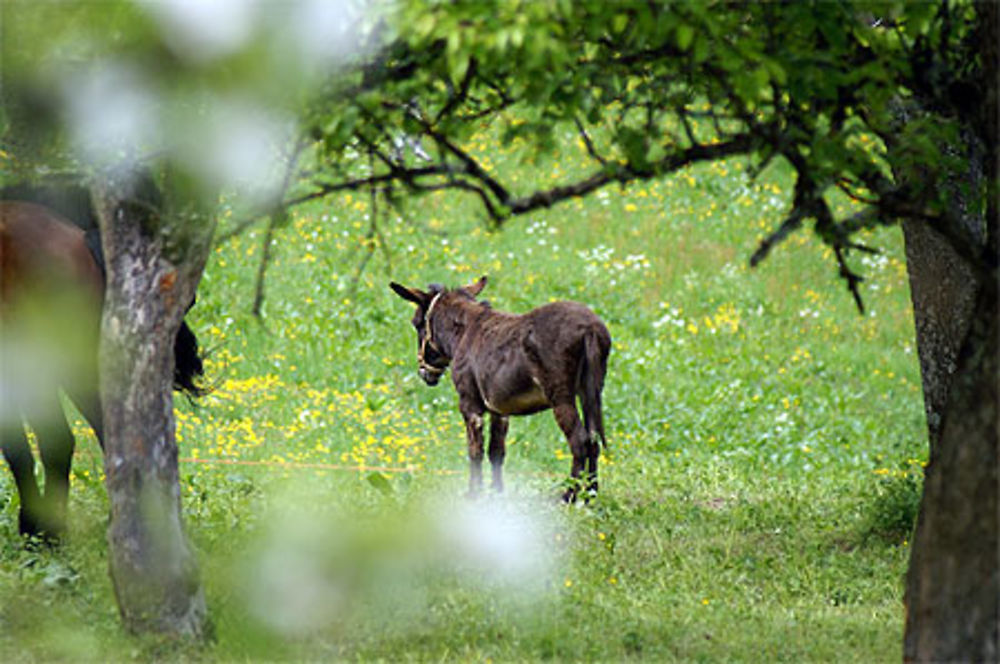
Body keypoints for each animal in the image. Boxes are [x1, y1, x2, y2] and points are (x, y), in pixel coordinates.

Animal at [388, 278, 608, 500]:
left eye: (416, 323)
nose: (424, 374)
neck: (462, 334)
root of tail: (589, 327)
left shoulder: (469, 404)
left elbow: (475, 451)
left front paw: (474, 493)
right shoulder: (499, 410)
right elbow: (496, 451)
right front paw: (497, 494)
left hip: (561, 397)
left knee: (579, 440)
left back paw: (568, 496)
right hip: (590, 392)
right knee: (593, 439)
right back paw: (590, 494)